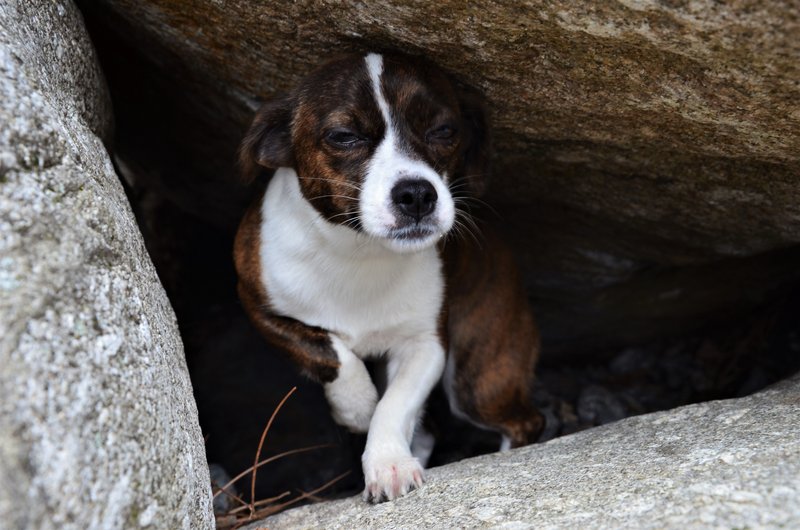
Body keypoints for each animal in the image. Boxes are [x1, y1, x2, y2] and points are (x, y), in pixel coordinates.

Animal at [231, 51, 544, 502]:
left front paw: (387, 463)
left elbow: (393, 405)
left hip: (478, 380)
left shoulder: (424, 346)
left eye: (444, 131)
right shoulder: (259, 307)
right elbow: (328, 351)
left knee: (524, 420)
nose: (417, 194)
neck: (360, 253)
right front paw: (357, 406)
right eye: (343, 136)